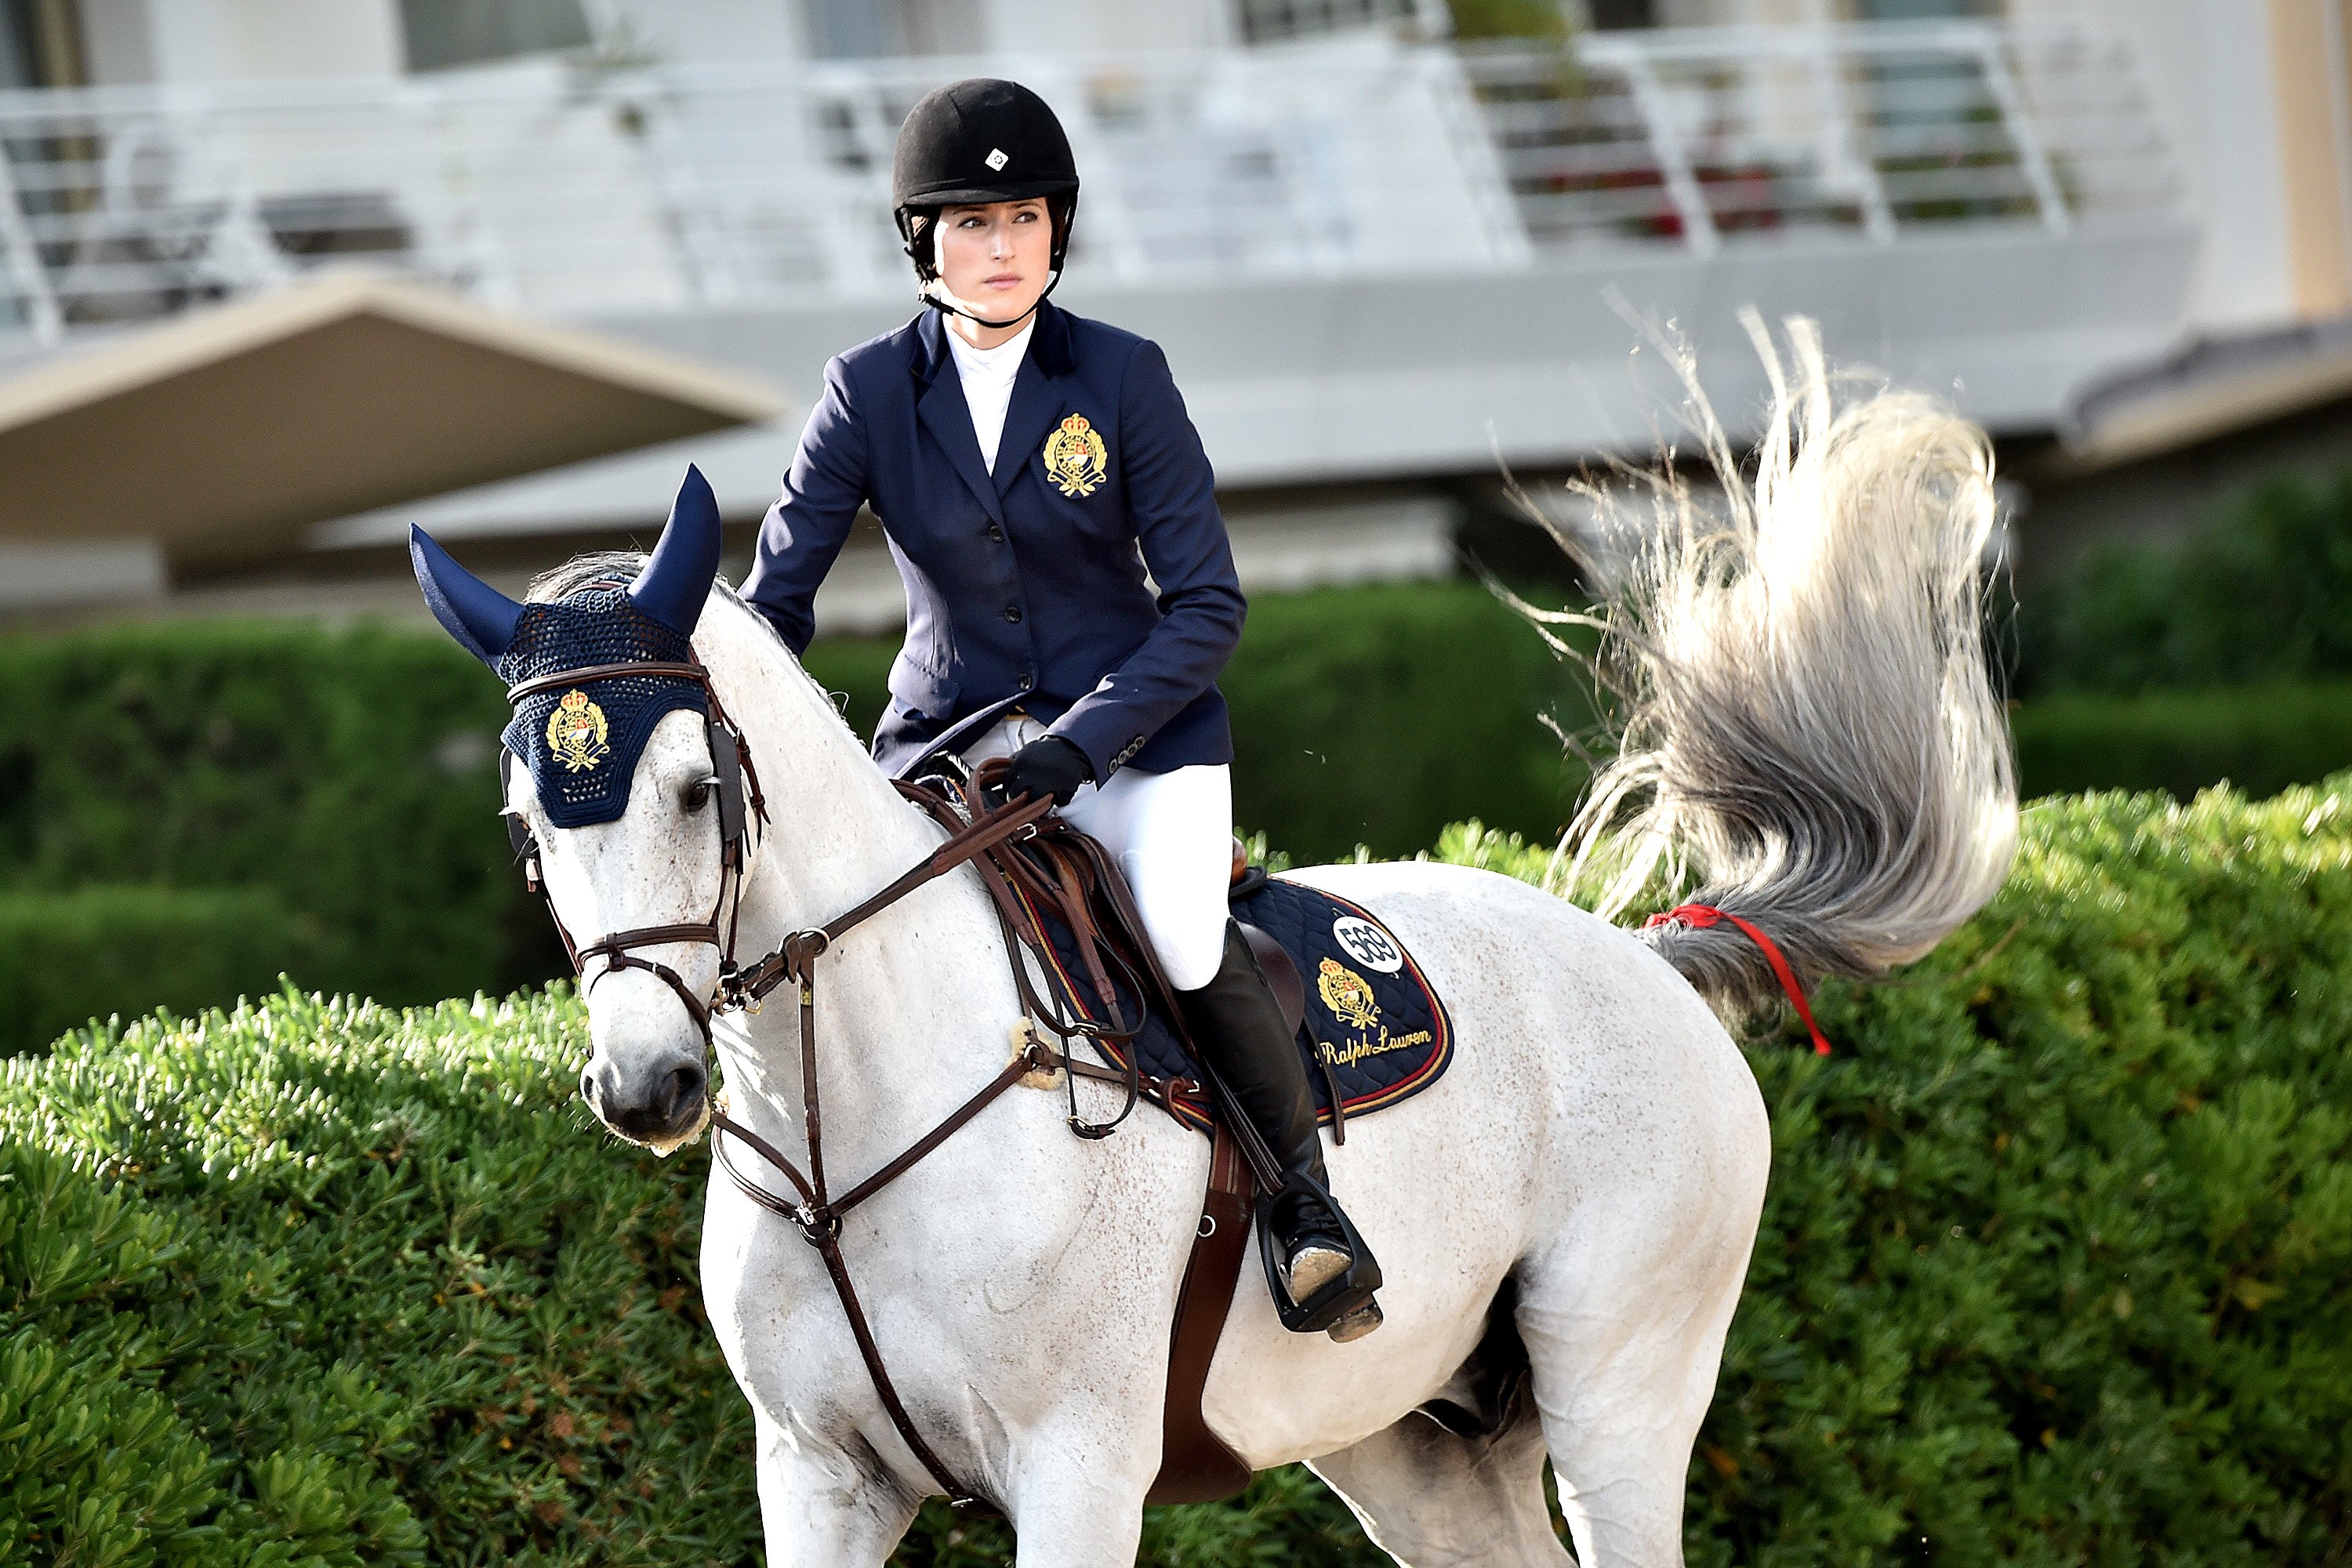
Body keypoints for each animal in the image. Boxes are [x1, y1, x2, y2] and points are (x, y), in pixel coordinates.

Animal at [437, 324, 2004, 1561]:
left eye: (695, 790)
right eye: (522, 823)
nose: (645, 1089)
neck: (850, 1136)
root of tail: (1648, 959)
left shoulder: (1076, 1472)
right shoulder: (817, 1478)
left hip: (1621, 1383)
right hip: (1414, 1444)